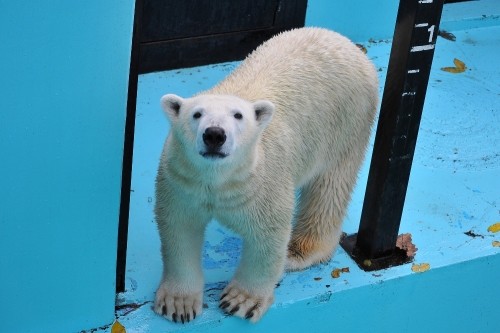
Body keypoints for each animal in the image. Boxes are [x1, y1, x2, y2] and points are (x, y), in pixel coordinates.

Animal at [154, 27, 376, 322]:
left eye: (238, 116)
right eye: (196, 114)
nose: (215, 134)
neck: (219, 179)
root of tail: (347, 43)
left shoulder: (264, 184)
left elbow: (267, 238)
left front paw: (240, 300)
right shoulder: (182, 180)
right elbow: (179, 229)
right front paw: (178, 304)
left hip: (348, 123)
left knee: (329, 188)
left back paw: (298, 251)